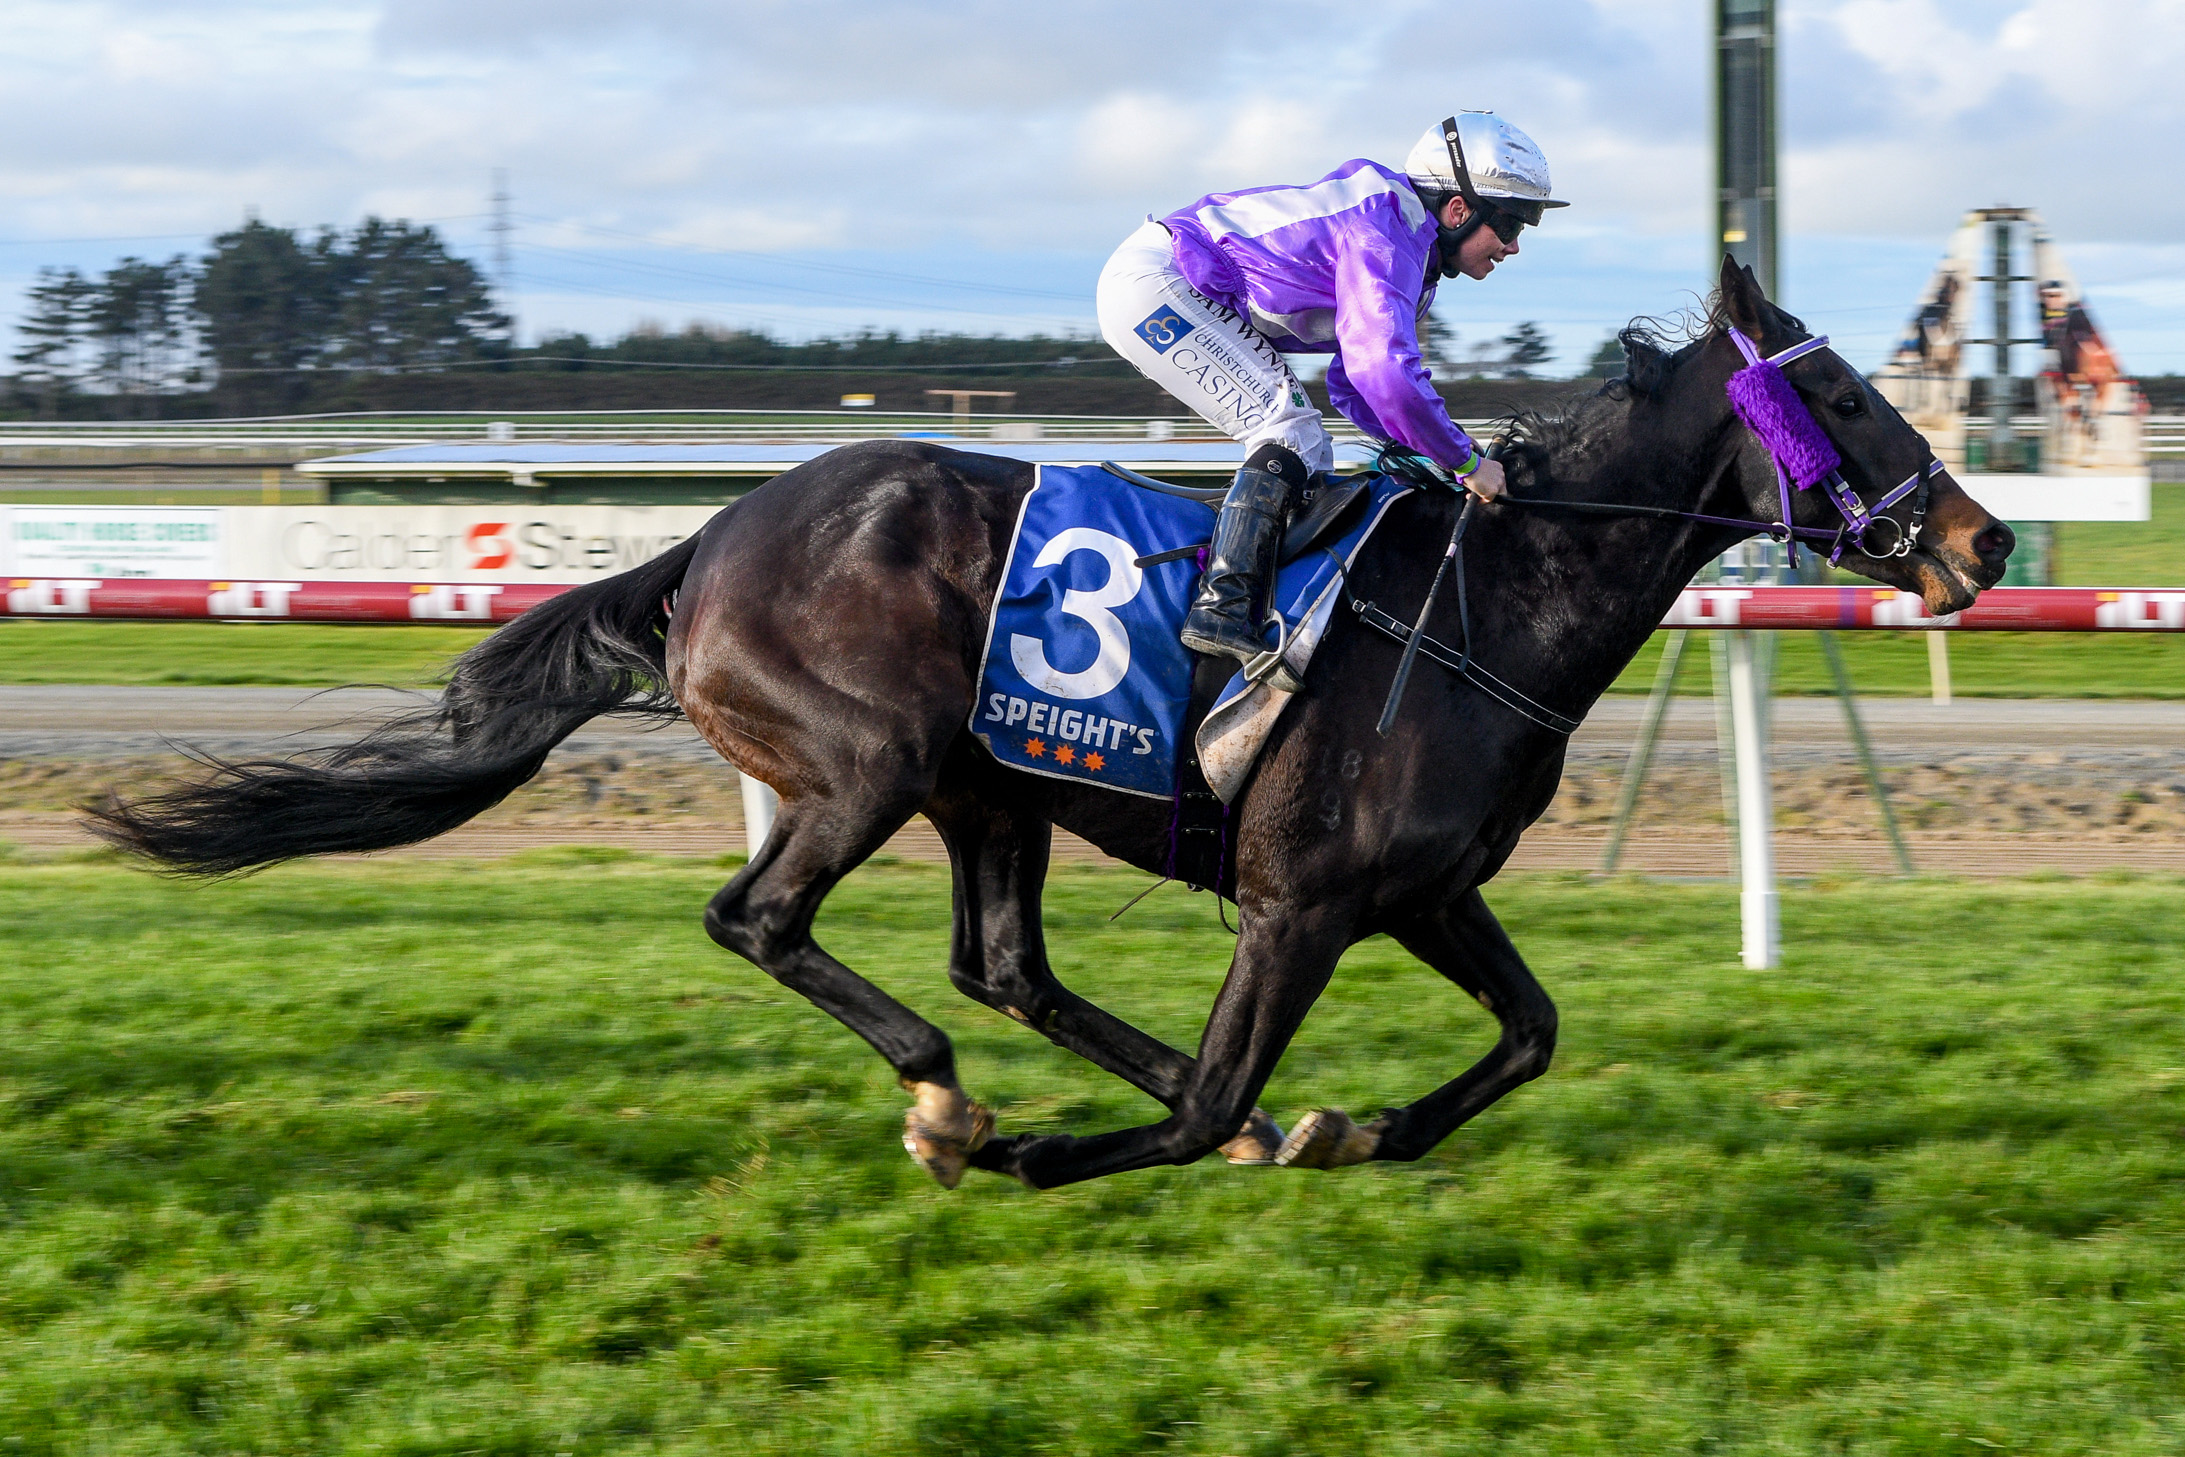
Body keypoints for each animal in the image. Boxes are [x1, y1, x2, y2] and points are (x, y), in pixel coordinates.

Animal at [98, 265, 2010, 1197]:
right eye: (1847, 397)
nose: (1984, 542)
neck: (1489, 603)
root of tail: (706, 540)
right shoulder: (1304, 901)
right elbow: (1225, 1082)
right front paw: (1060, 1148)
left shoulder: (1419, 889)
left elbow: (1531, 1032)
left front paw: (1348, 1128)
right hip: (864, 763)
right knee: (762, 919)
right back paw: (950, 1104)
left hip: (989, 786)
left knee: (1004, 962)